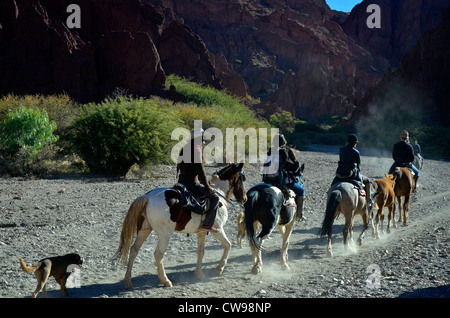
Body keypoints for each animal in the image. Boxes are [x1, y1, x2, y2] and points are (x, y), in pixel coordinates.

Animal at [113, 163, 246, 290]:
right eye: (242, 178)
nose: (244, 198)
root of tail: (148, 197)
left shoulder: (201, 233)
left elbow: (201, 252)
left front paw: (199, 274)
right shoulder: (218, 230)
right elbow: (228, 245)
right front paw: (219, 269)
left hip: (144, 229)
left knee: (134, 250)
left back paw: (128, 281)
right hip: (165, 234)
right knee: (158, 254)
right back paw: (165, 280)